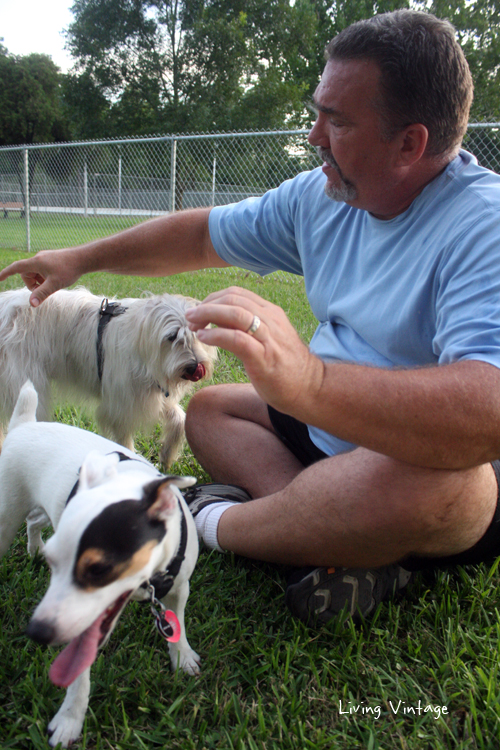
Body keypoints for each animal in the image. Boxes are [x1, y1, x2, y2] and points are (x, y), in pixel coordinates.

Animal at [0, 290, 215, 470]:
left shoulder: (152, 394)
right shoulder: (122, 406)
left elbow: (179, 419)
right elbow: (124, 440)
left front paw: (167, 455)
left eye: (197, 334)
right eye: (171, 337)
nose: (195, 367)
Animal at [0, 384, 199, 748]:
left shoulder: (178, 587)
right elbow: (78, 674)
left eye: (98, 569)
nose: (36, 632)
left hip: (43, 508)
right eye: (57, 567)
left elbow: (175, 620)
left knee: (34, 521)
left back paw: (34, 548)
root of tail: (24, 423)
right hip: (7, 516)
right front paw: (70, 719)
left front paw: (181, 657)